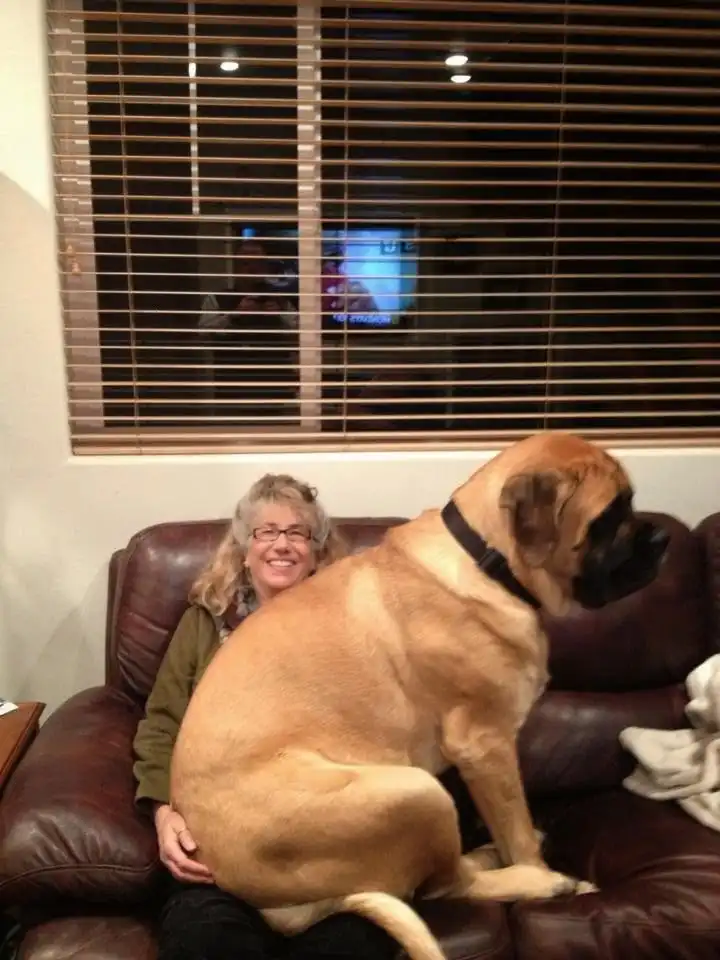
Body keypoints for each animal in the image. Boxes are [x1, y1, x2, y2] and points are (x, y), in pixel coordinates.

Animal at [171, 432, 669, 960]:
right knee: (445, 885)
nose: (664, 539)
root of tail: (268, 905)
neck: (486, 560)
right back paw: (538, 880)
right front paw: (539, 869)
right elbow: (516, 830)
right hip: (416, 791)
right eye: (609, 516)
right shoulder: (486, 745)